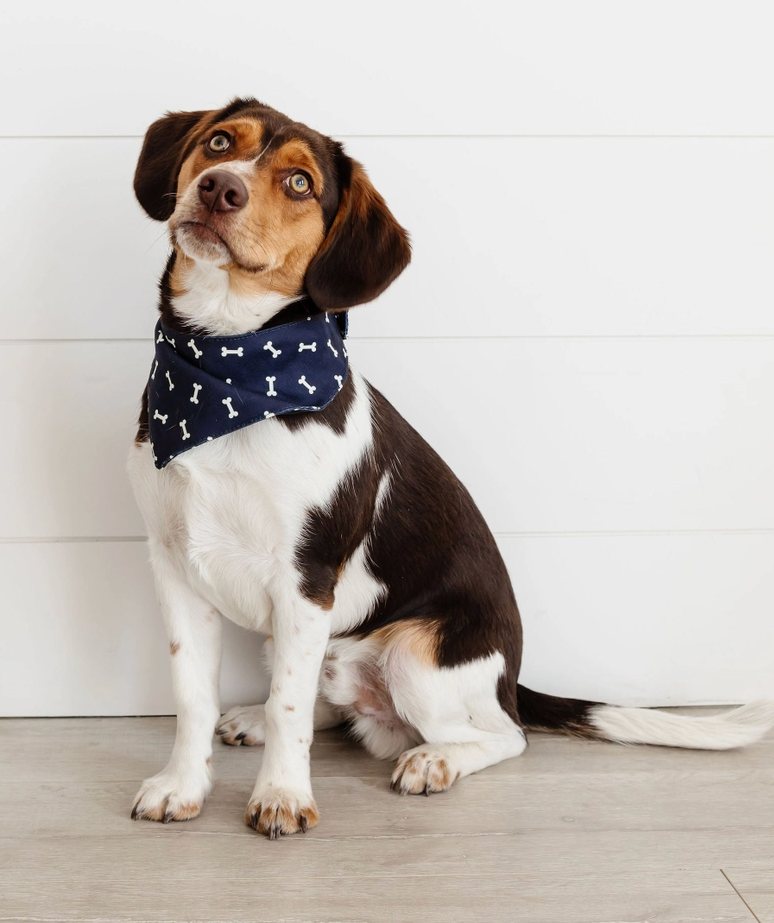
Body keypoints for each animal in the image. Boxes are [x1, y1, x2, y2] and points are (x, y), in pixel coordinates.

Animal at [127, 99, 774, 836]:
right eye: (218, 142)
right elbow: (194, 697)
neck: (232, 374)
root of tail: (509, 678)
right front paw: (182, 784)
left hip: (415, 654)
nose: (219, 188)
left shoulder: (305, 579)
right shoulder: (176, 567)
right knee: (324, 699)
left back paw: (434, 760)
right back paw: (257, 719)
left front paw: (283, 796)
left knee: (503, 734)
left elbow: (289, 706)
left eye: (299, 183)